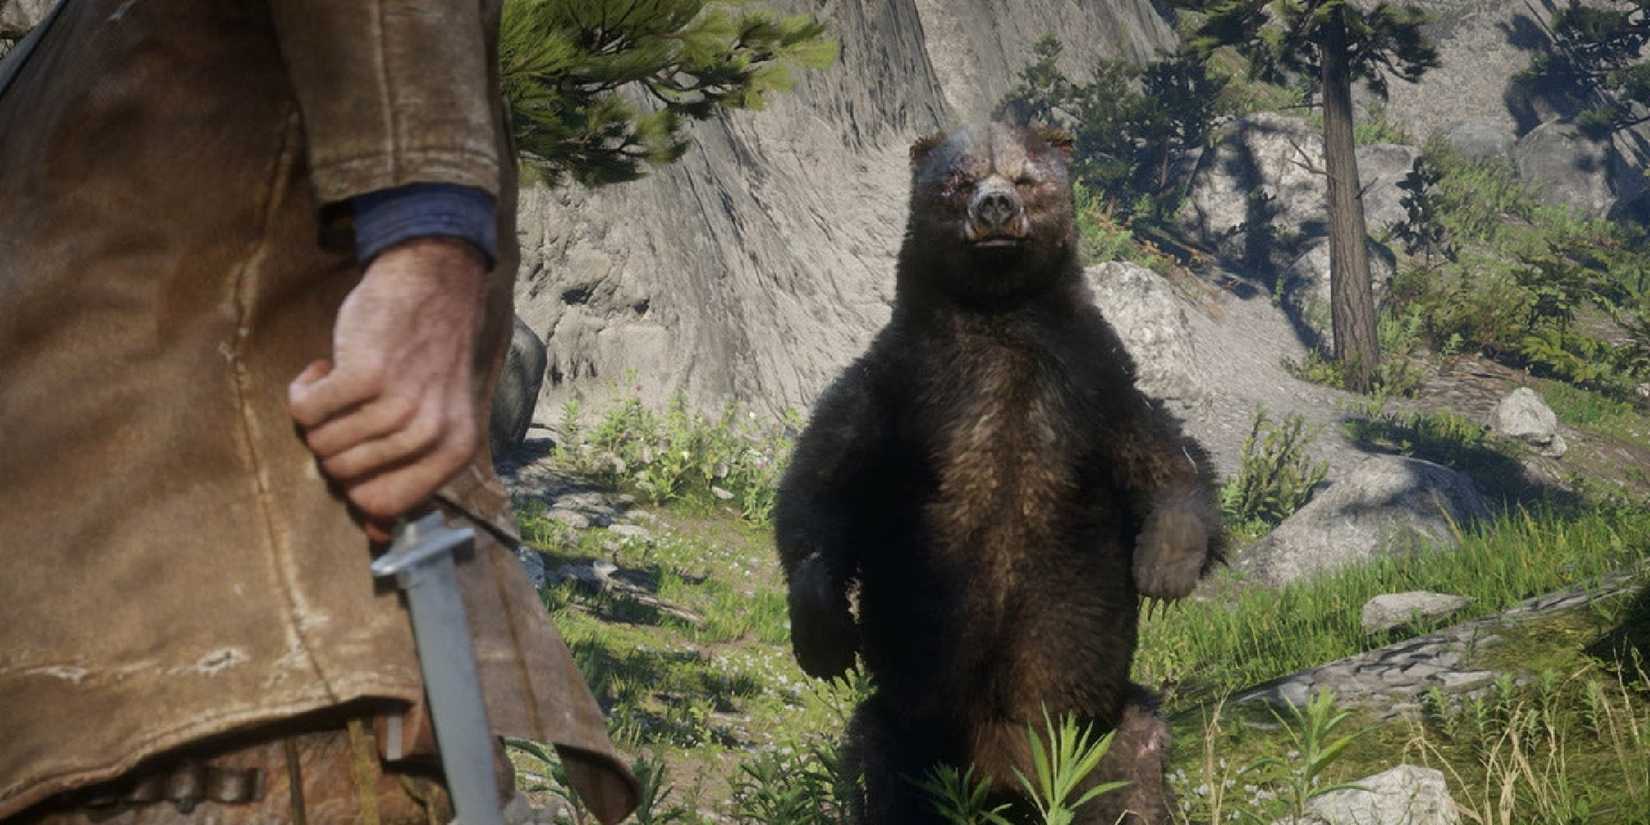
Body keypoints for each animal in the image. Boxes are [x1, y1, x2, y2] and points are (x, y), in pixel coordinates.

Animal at [773, 121, 1222, 825]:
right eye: (959, 180)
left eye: (1023, 177)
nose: (995, 208)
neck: (998, 317)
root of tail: (1007, 781)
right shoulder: (904, 387)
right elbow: (822, 483)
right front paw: (823, 632)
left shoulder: (1089, 385)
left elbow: (1166, 456)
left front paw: (1165, 564)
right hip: (911, 728)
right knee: (880, 766)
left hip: (1101, 727)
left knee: (1138, 763)